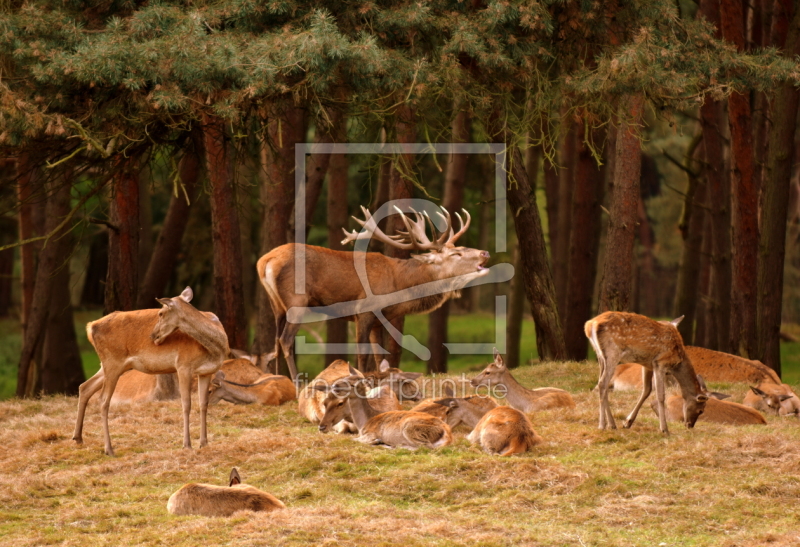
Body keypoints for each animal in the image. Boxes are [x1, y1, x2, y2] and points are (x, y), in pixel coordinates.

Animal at [72, 288, 228, 456]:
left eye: (161, 313)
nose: (152, 336)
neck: (215, 349)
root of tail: (90, 327)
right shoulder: (183, 365)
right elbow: (186, 404)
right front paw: (187, 445)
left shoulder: (205, 372)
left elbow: (203, 404)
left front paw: (204, 443)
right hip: (112, 361)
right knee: (103, 399)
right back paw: (109, 449)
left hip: (110, 365)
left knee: (85, 387)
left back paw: (78, 438)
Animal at [260, 203, 490, 378]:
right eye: (456, 254)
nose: (485, 253)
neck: (399, 286)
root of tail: (265, 262)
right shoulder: (364, 310)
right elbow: (363, 353)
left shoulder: (379, 320)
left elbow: (380, 356)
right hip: (297, 302)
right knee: (286, 340)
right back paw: (297, 384)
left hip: (276, 305)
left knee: (275, 341)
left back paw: (279, 379)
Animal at [314, 366, 454, 452]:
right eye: (345, 377)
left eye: (354, 383)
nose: (335, 386)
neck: (363, 423)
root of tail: (448, 435)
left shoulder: (371, 433)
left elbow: (353, 439)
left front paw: (377, 441)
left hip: (411, 429)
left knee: (424, 447)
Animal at [580, 310, 708, 434]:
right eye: (701, 410)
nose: (689, 425)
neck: (677, 363)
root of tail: (590, 324)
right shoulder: (660, 363)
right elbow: (660, 395)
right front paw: (664, 428)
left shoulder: (648, 365)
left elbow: (647, 390)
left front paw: (627, 422)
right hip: (613, 352)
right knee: (602, 383)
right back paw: (602, 425)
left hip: (601, 356)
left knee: (602, 384)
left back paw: (612, 424)